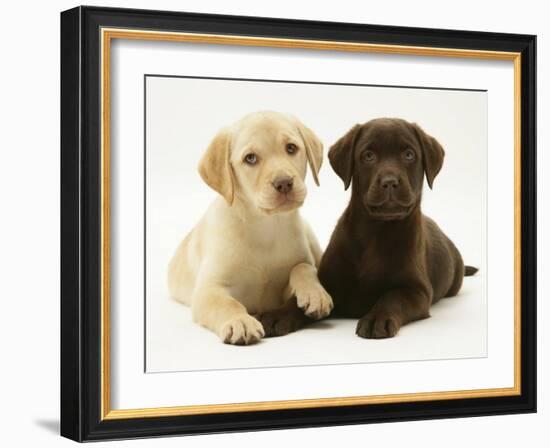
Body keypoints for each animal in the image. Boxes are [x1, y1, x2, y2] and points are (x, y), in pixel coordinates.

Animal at [168, 110, 334, 344]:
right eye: (250, 158)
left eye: (291, 148)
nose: (284, 182)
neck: (264, 226)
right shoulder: (208, 290)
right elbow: (227, 303)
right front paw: (240, 321)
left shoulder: (284, 285)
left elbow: (303, 267)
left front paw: (315, 293)